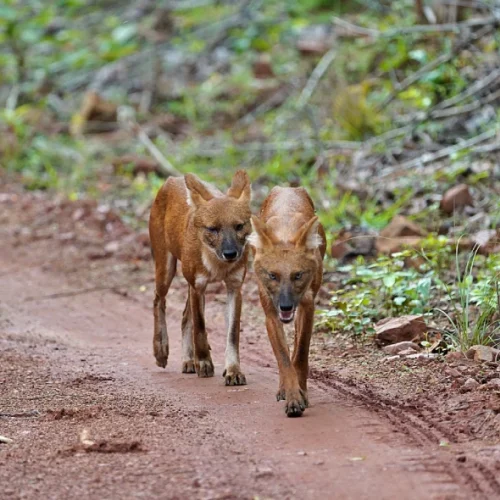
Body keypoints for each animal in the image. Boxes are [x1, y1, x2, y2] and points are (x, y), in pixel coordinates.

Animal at [147, 170, 250, 384]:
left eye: (238, 226)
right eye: (213, 229)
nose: (231, 253)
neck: (217, 265)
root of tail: (173, 178)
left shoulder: (234, 287)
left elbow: (232, 334)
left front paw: (233, 370)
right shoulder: (198, 286)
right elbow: (200, 328)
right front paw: (204, 363)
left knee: (185, 316)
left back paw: (188, 361)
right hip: (166, 268)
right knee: (158, 299)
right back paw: (161, 349)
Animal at [249, 186, 326, 416]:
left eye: (297, 275)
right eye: (272, 276)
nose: (285, 305)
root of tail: (287, 187)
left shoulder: (307, 306)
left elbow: (299, 355)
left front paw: (302, 394)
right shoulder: (270, 314)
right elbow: (283, 358)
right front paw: (292, 396)